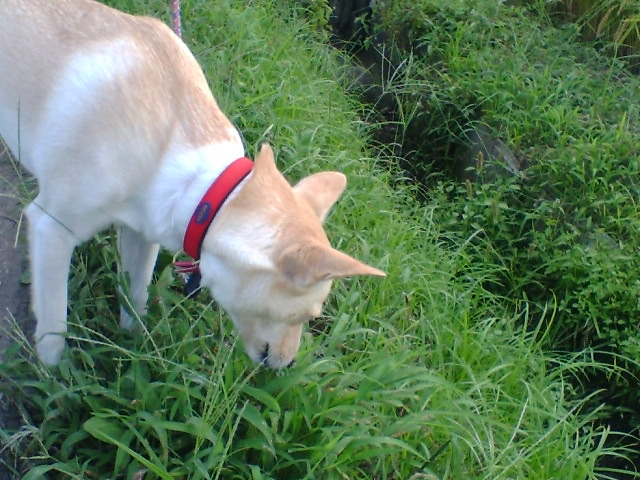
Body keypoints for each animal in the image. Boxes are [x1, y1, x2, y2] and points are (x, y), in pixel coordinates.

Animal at [0, 0, 385, 368]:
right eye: (306, 316)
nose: (289, 365)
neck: (205, 191)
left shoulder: (143, 232)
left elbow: (135, 297)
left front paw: (133, 345)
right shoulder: (51, 229)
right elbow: (54, 329)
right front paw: (54, 378)